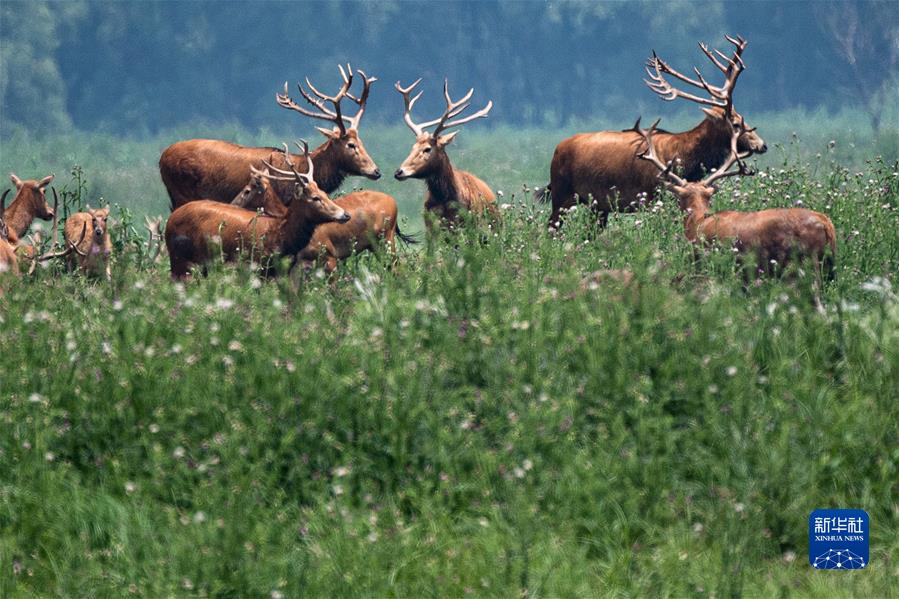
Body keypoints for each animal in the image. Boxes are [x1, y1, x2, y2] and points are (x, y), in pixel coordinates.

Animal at [162, 65, 380, 211]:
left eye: (362, 142)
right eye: (351, 145)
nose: (376, 171)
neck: (300, 168)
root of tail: (162, 158)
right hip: (181, 192)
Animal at [165, 142, 352, 280]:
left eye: (324, 194)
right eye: (315, 198)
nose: (345, 214)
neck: (280, 235)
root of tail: (170, 220)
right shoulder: (256, 265)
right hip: (180, 260)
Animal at [544, 35, 768, 230]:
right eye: (737, 123)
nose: (762, 144)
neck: (685, 158)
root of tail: (557, 148)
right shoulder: (655, 195)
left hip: (597, 205)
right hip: (561, 194)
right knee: (551, 228)